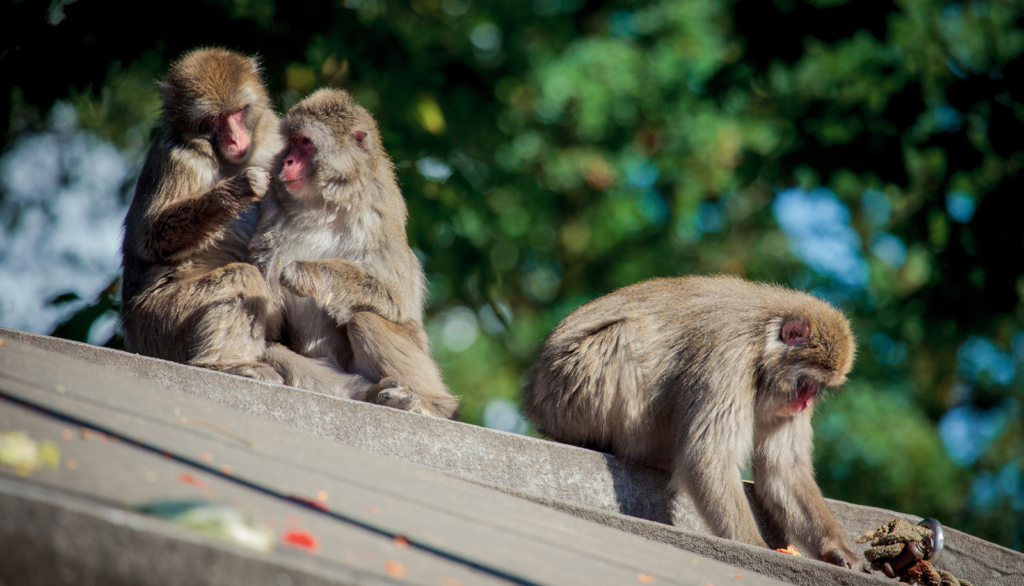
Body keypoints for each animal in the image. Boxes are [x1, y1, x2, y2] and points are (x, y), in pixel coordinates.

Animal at [122, 48, 286, 383]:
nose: (235, 139)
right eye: (214, 119)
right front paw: (237, 190)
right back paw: (229, 364)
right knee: (242, 276)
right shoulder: (178, 157)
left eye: (237, 112)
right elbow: (149, 238)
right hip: (158, 324)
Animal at [249, 87, 458, 417]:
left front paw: (306, 272)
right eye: (291, 142)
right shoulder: (271, 207)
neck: (324, 204)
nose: (287, 161)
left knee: (364, 319)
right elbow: (267, 319)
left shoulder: (379, 212)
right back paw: (367, 393)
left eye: (305, 143)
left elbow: (396, 298)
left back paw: (433, 406)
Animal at [520, 276, 864, 569]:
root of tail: (534, 397)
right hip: (569, 392)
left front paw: (837, 550)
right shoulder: (728, 355)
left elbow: (783, 469)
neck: (761, 344)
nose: (805, 403)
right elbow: (708, 455)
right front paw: (753, 545)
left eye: (816, 389)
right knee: (624, 336)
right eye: (807, 383)